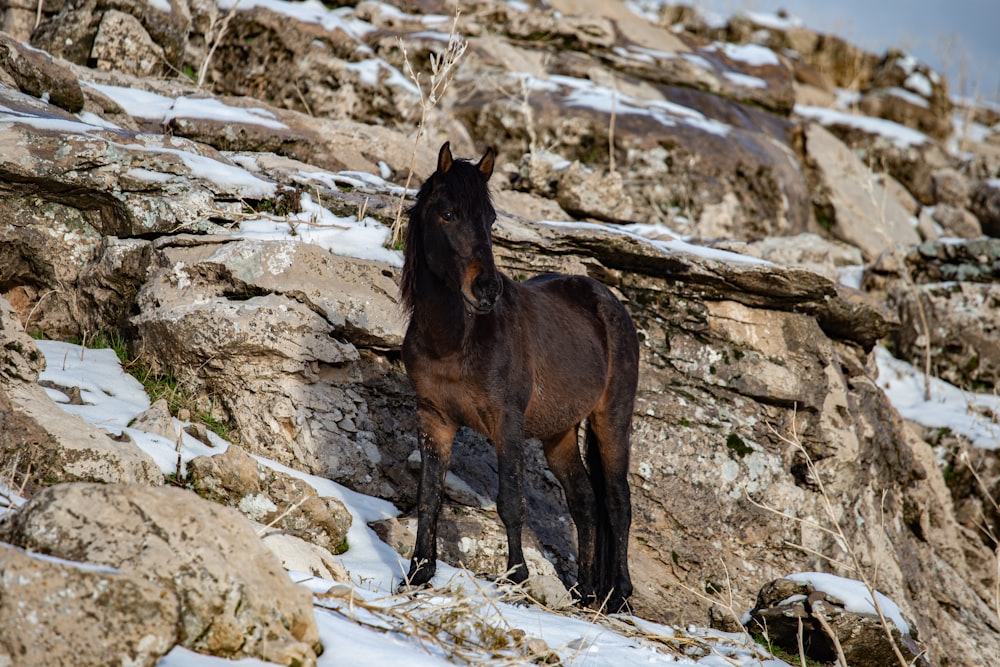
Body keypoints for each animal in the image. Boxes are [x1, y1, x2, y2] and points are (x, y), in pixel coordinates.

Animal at [396, 142, 636, 612]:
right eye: (447, 213)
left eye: (490, 219)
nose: (487, 290)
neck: (456, 340)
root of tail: (609, 302)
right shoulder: (433, 418)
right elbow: (428, 496)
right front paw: (417, 574)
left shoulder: (506, 421)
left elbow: (511, 502)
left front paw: (516, 578)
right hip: (559, 432)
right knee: (584, 501)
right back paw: (584, 591)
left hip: (612, 420)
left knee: (618, 503)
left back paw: (618, 596)